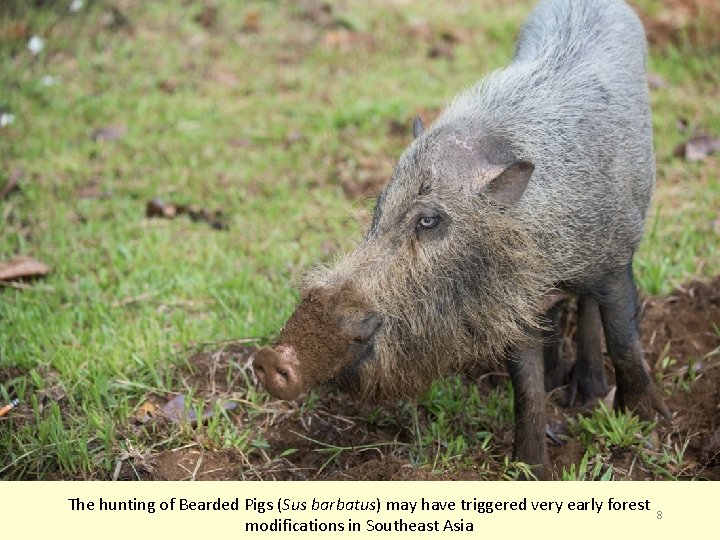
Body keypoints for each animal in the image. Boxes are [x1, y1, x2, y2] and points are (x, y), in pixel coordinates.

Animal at [253, 0, 670, 478]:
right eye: (380, 209)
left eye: (429, 220)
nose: (269, 358)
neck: (536, 246)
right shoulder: (516, 306)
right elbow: (526, 391)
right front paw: (531, 469)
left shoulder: (613, 262)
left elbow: (623, 336)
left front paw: (650, 422)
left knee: (589, 310)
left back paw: (586, 394)